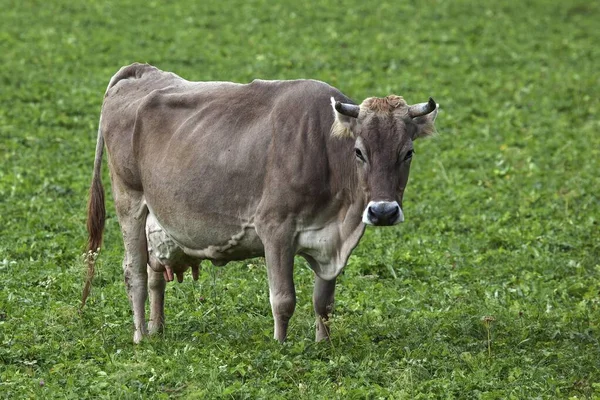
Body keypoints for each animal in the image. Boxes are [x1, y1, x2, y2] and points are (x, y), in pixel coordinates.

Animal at [82, 64, 438, 342]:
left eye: (408, 153)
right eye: (359, 152)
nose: (383, 212)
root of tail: (142, 71)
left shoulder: (329, 238)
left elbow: (323, 301)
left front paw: (323, 343)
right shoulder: (275, 229)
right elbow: (283, 299)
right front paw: (281, 345)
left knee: (154, 273)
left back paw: (157, 328)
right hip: (128, 200)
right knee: (135, 272)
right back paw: (141, 336)